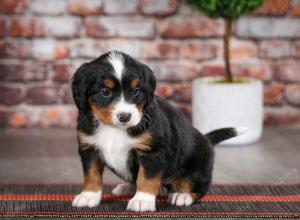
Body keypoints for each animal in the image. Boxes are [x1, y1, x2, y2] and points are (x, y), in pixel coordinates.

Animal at [70, 50, 246, 211]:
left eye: (136, 91)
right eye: (105, 92)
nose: (125, 116)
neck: (115, 130)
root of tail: (206, 138)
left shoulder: (153, 151)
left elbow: (146, 177)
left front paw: (142, 200)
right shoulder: (89, 148)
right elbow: (91, 174)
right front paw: (88, 196)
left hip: (198, 167)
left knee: (197, 187)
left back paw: (182, 196)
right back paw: (128, 187)